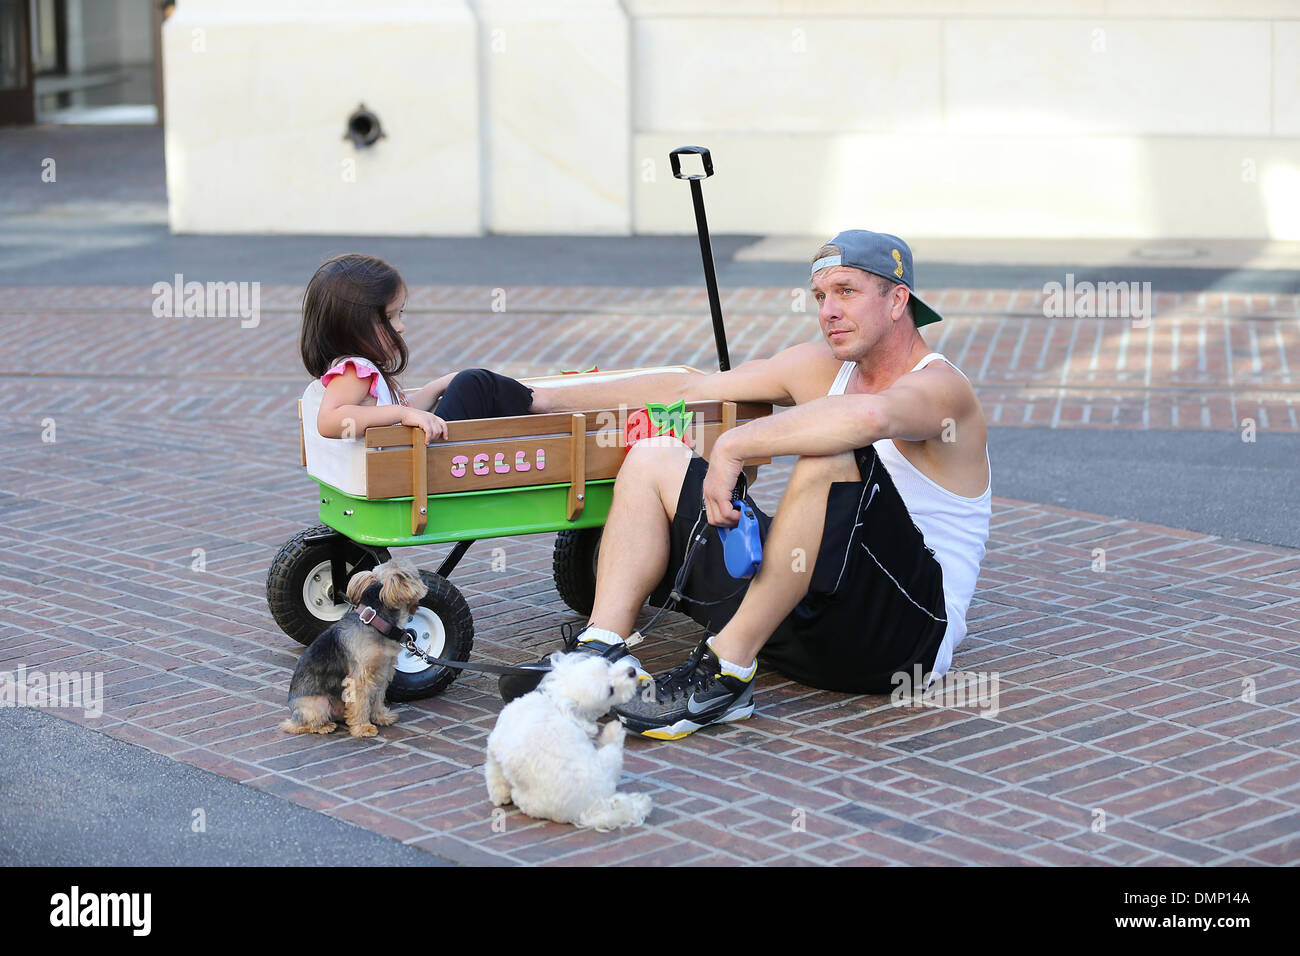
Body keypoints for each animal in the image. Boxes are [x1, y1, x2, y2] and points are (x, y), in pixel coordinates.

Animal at [486, 650, 655, 832]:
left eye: (608, 664)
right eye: (610, 690)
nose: (632, 671)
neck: (557, 701)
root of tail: (593, 806)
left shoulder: (495, 745)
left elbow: (494, 772)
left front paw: (499, 794)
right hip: (607, 765)